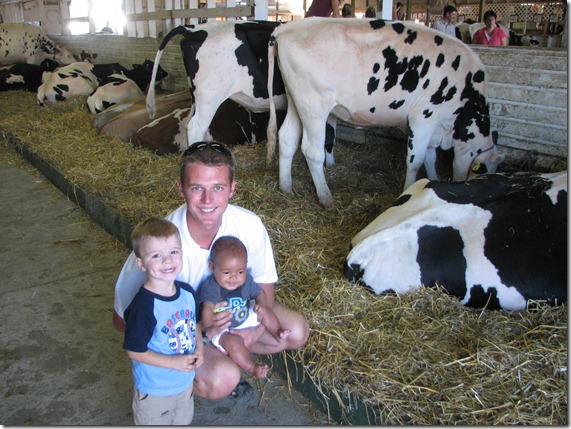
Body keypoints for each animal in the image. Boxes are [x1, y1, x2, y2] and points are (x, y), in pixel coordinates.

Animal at [266, 18, 504, 207]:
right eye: (481, 170)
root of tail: (288, 27)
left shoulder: (434, 126)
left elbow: (430, 157)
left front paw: (433, 180)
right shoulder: (424, 116)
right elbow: (416, 159)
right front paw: (408, 190)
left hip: (296, 100)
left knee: (287, 138)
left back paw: (286, 186)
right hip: (314, 106)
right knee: (312, 150)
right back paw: (326, 197)